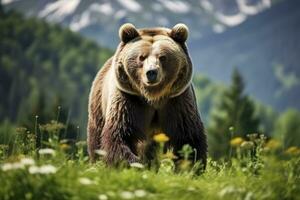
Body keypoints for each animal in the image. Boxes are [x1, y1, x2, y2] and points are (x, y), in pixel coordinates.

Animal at [87, 23, 206, 167]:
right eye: (141, 57)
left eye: (163, 57)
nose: (151, 72)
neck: (153, 96)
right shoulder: (128, 99)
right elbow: (120, 134)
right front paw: (134, 164)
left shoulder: (177, 100)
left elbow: (187, 136)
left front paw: (191, 165)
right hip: (99, 104)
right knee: (96, 137)